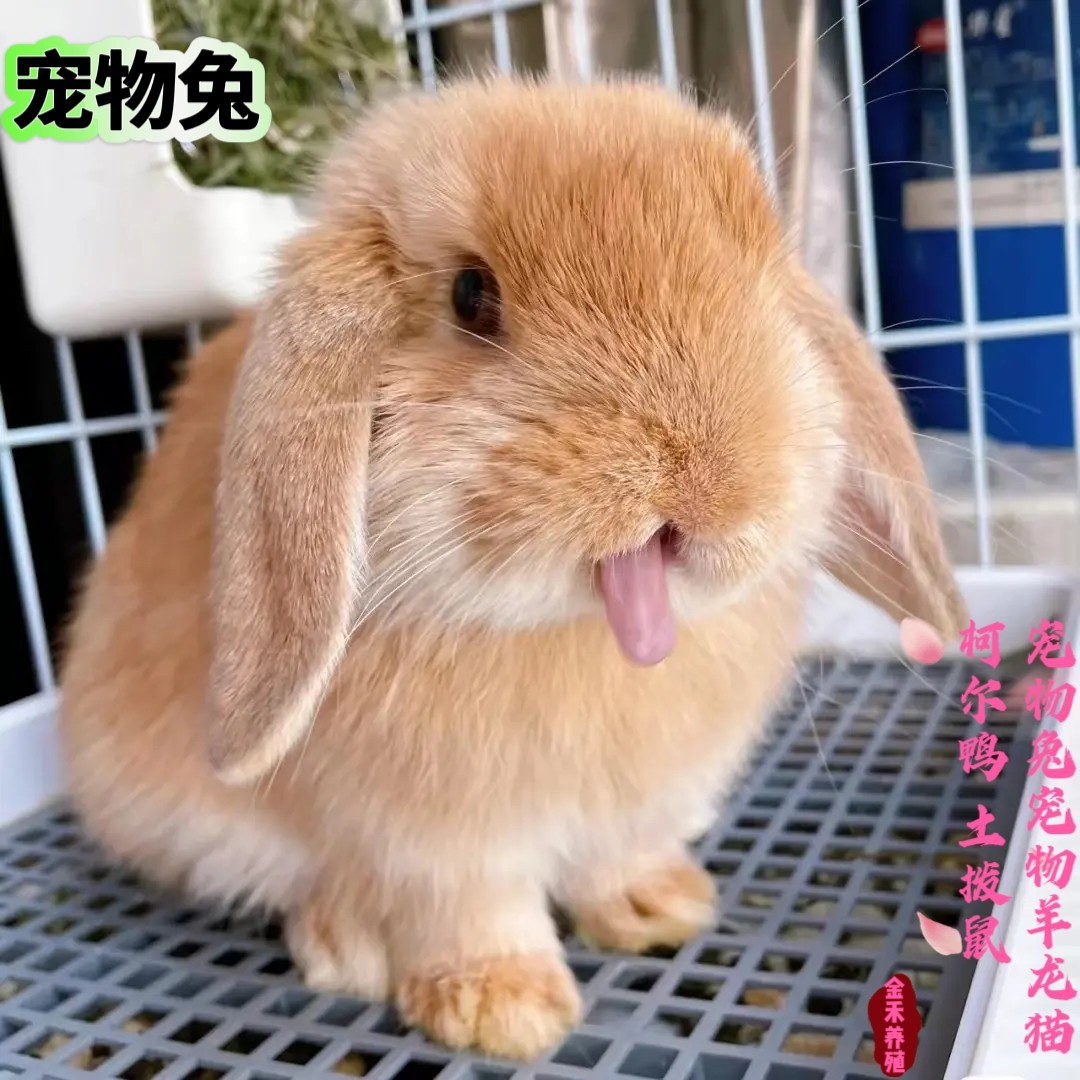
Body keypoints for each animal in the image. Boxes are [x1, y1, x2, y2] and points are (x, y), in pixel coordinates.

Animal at [58, 74, 967, 1061]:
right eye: (471, 295)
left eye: (755, 269)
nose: (717, 489)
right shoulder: (438, 844)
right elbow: (471, 910)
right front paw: (501, 1010)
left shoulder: (632, 805)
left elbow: (615, 857)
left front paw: (659, 908)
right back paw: (346, 951)